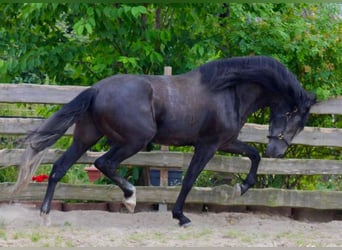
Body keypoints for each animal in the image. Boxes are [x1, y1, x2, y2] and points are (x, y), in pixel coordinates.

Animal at [12, 55, 316, 227]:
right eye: (294, 118)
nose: (277, 150)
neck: (229, 92)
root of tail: (97, 89)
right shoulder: (208, 145)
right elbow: (190, 178)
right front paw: (181, 216)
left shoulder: (225, 142)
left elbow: (253, 155)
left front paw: (242, 188)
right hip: (135, 139)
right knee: (103, 163)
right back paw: (130, 197)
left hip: (86, 137)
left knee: (59, 168)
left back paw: (45, 215)